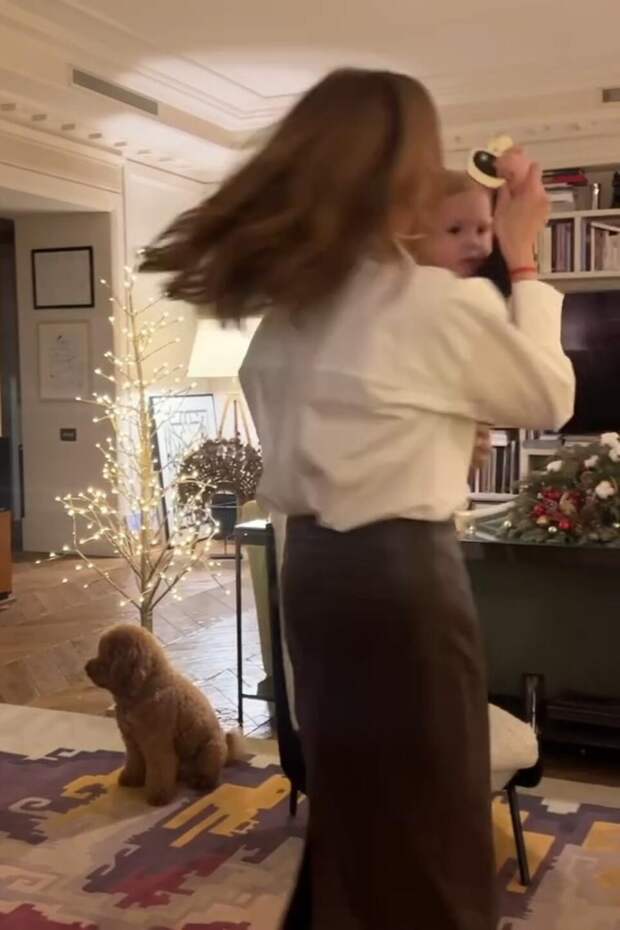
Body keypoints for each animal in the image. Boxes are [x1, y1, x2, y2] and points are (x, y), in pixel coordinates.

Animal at [85, 624, 243, 806]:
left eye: (107, 655)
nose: (86, 667)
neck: (144, 689)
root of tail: (227, 754)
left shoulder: (157, 743)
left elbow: (159, 771)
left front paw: (158, 797)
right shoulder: (132, 740)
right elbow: (134, 762)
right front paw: (131, 779)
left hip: (210, 751)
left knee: (210, 776)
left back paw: (201, 781)